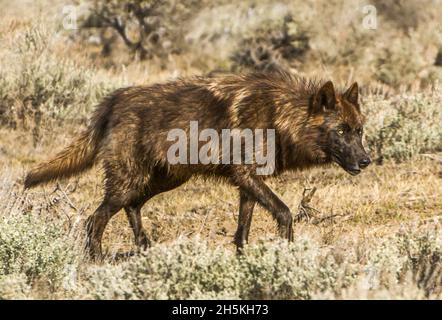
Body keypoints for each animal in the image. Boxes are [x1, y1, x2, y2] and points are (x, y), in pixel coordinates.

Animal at [23, 71, 370, 258]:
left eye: (359, 130)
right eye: (341, 131)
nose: (366, 161)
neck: (279, 117)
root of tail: (113, 99)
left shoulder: (247, 184)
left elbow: (242, 230)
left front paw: (245, 261)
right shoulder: (246, 176)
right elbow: (284, 212)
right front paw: (285, 255)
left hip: (164, 180)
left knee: (132, 207)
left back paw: (146, 250)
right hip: (129, 182)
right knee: (95, 219)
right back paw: (97, 260)